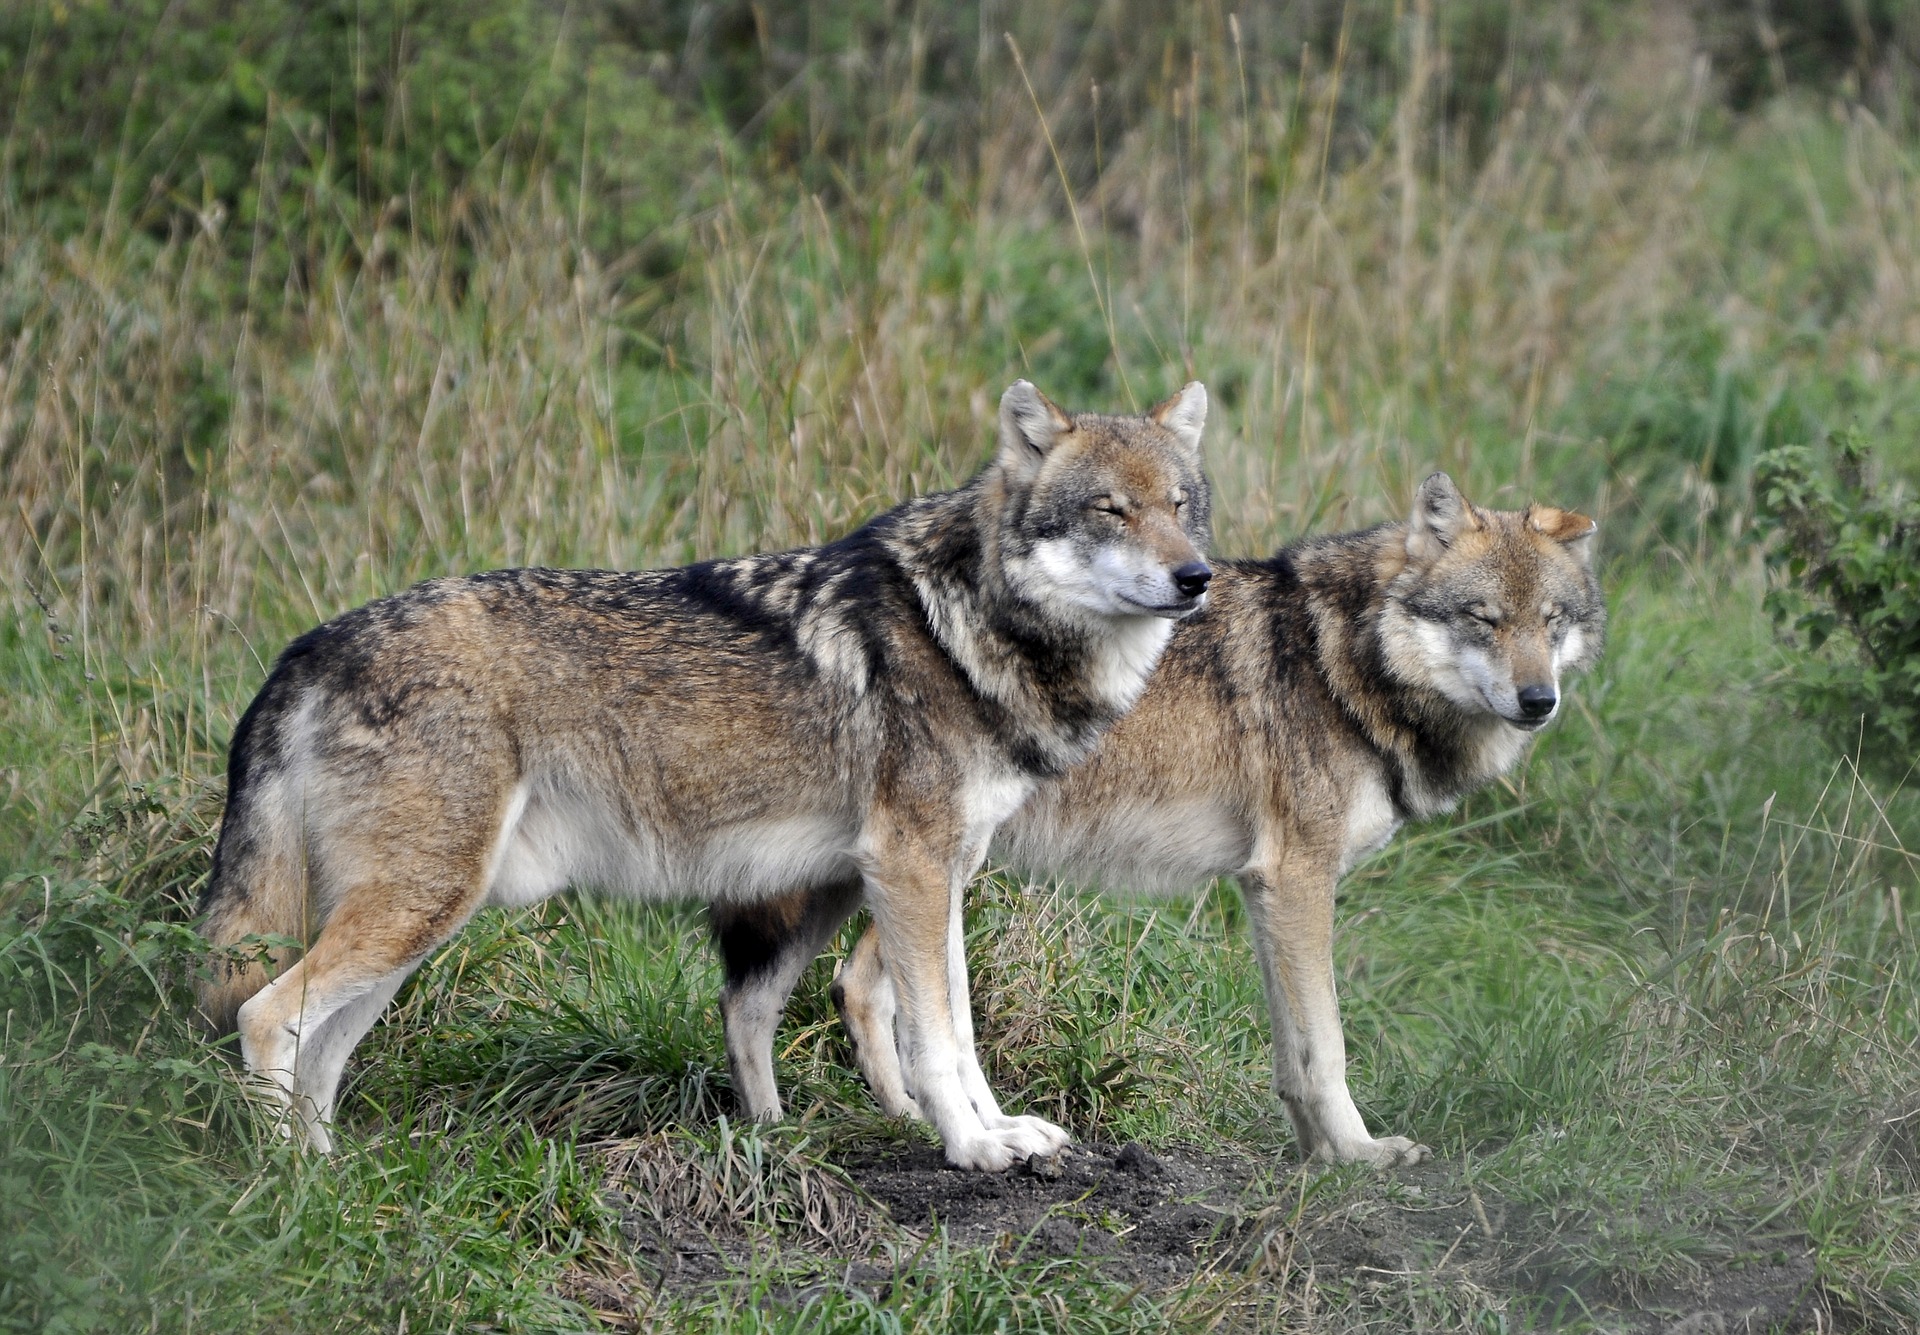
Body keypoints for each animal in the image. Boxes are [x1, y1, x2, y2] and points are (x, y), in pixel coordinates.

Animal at [198, 378, 1213, 1167]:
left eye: (1179, 505)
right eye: (1110, 510)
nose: (1196, 576)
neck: (963, 625)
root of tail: (309, 645)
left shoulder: (944, 871)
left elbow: (956, 1028)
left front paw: (1001, 1131)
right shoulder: (913, 868)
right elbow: (936, 1036)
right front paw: (970, 1147)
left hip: (418, 922)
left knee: (321, 1051)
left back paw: (331, 1171)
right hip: (419, 906)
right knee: (264, 1016)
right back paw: (292, 1185)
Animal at [714, 474, 1597, 1167]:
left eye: (1552, 621)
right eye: (1484, 618)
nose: (1538, 700)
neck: (1338, 661)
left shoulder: (1265, 891)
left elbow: (1293, 1050)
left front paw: (1315, 1155)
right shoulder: (1298, 879)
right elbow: (1328, 1046)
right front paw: (1359, 1153)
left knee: (847, 986)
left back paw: (887, 1123)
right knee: (842, 989)